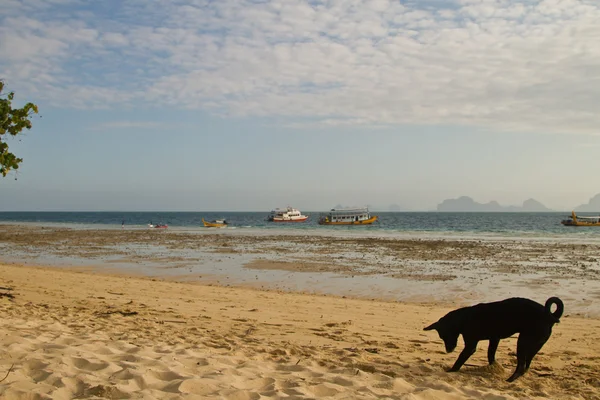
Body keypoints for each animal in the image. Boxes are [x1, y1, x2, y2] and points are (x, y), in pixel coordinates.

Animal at [422, 296, 564, 382]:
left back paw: (510, 380)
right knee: (526, 364)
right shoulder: (494, 339)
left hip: (523, 342)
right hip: (534, 345)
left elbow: (460, 359)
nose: (449, 351)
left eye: (445, 335)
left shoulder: (471, 345)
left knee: (521, 365)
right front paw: (493, 368)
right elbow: (490, 355)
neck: (463, 319)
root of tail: (550, 316)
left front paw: (451, 370)